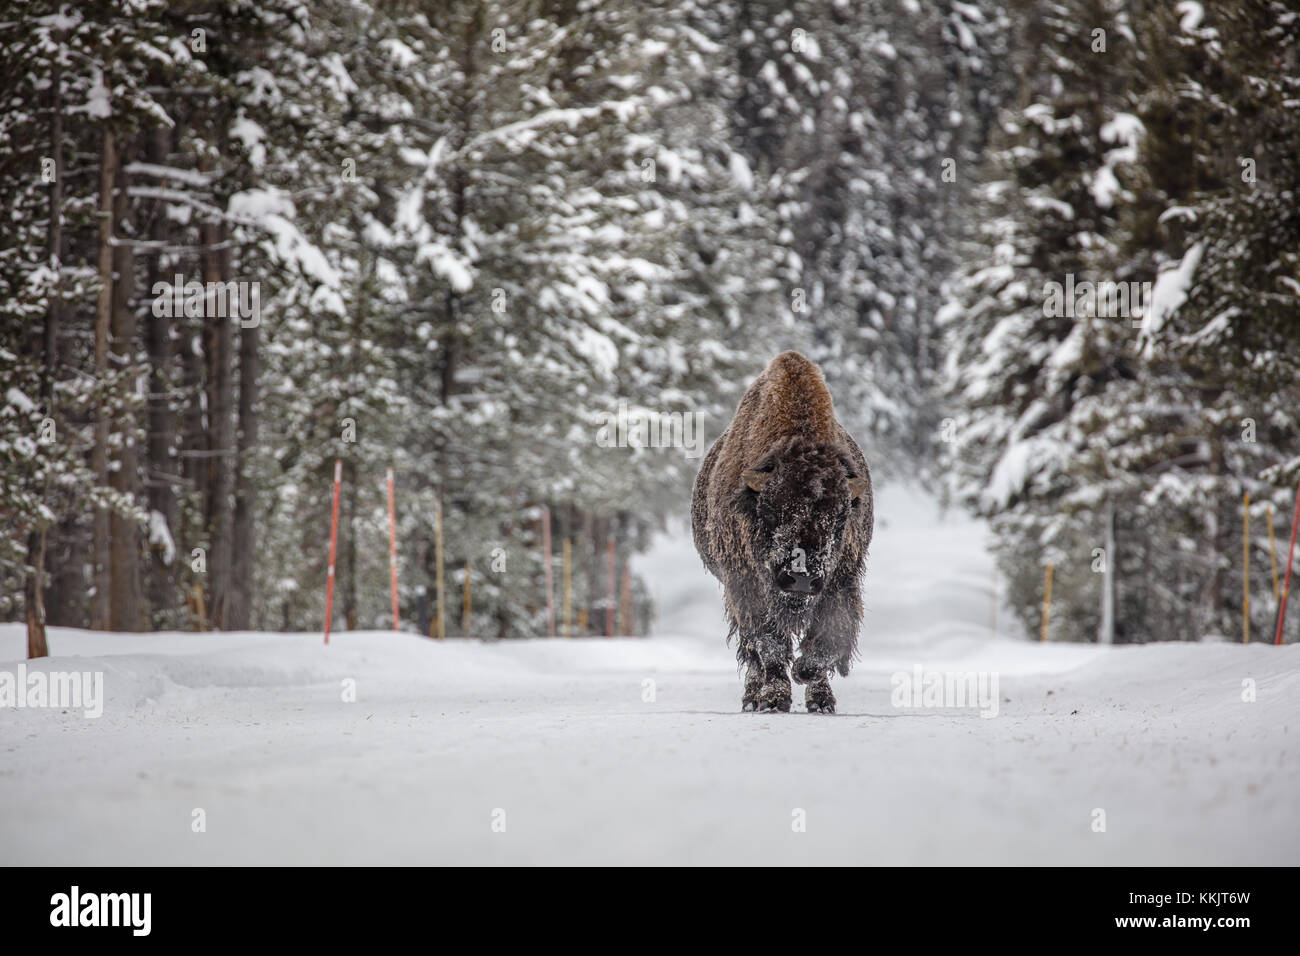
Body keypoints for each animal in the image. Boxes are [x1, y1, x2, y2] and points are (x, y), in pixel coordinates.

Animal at [691, 351, 873, 712]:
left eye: (840, 517)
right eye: (771, 511)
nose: (800, 578)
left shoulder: (841, 580)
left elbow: (828, 638)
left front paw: (807, 676)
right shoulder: (745, 584)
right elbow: (768, 644)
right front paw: (775, 699)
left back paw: (819, 700)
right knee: (752, 654)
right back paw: (753, 698)